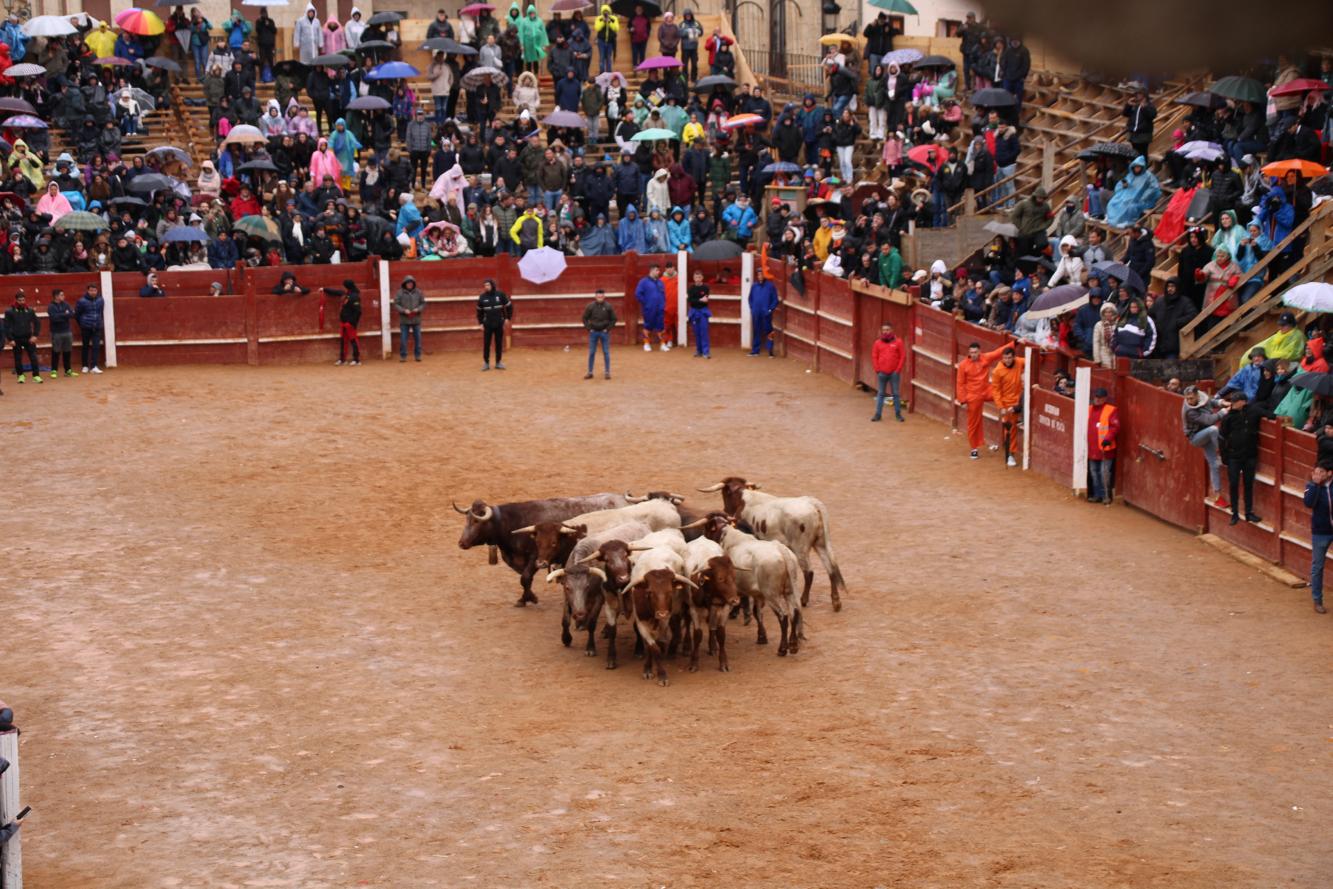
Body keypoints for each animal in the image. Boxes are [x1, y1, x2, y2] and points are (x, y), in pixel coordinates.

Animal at [453, 490, 629, 607]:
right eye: (467, 519)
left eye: (476, 521)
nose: (461, 543)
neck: (510, 523)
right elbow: (525, 579)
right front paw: (527, 597)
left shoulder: (535, 558)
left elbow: (525, 578)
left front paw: (527, 599)